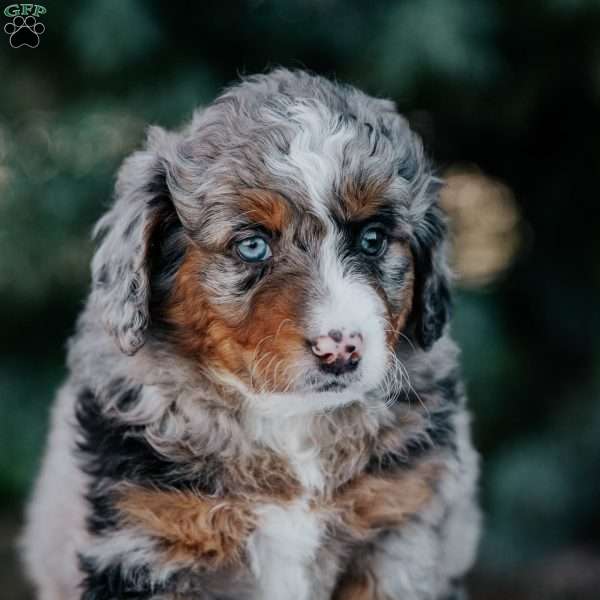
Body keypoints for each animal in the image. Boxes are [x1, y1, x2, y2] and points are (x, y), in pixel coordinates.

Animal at [21, 70, 480, 600]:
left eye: (373, 239)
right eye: (253, 246)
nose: (341, 348)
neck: (288, 422)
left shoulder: (398, 532)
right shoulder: (144, 540)